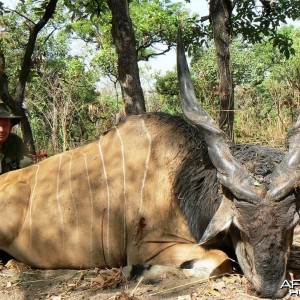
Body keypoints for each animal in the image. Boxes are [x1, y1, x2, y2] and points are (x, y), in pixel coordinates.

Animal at [0, 27, 298, 298]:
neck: (178, 181)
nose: (272, 288)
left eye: (291, 225)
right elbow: (220, 261)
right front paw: (137, 271)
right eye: (239, 227)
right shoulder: (149, 246)